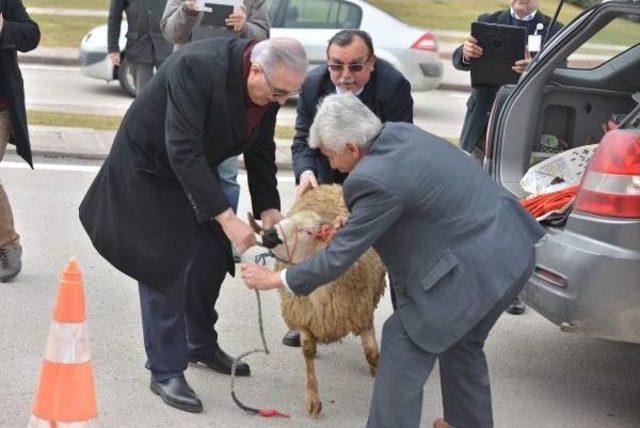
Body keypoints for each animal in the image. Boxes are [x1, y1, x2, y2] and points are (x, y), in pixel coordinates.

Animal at [252, 185, 388, 418]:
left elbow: (371, 352)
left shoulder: (361, 312)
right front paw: (313, 401)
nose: (269, 235)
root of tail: (329, 185)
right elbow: (307, 351)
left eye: (307, 231)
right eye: (285, 219)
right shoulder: (305, 317)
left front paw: (377, 370)